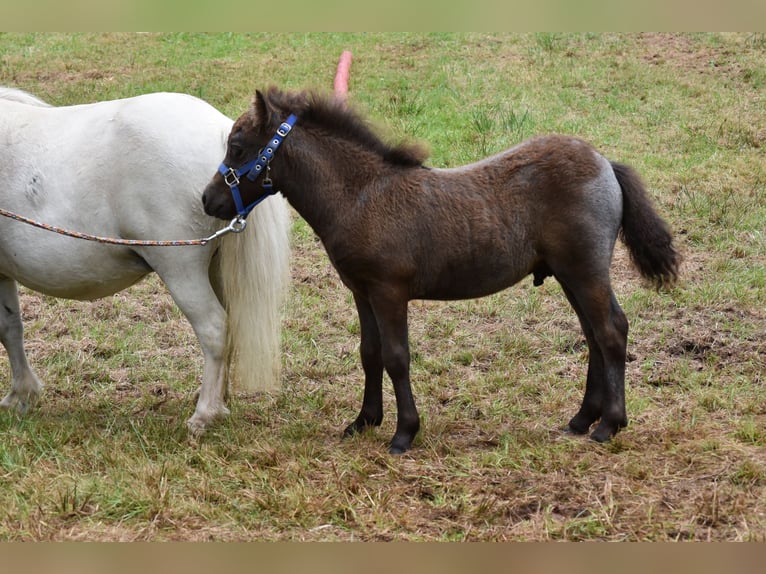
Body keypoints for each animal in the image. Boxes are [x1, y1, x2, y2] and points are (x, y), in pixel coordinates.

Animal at [0, 88, 292, 434]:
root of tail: (219, 130)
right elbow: (11, 328)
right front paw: (21, 394)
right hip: (216, 270)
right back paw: (219, 401)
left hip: (181, 271)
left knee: (214, 329)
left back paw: (205, 413)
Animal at [201, 86, 680, 454]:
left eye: (237, 148)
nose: (207, 200)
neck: (360, 196)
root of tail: (605, 164)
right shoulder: (361, 291)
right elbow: (369, 353)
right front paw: (364, 420)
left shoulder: (389, 291)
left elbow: (397, 357)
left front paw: (403, 434)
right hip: (569, 274)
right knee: (593, 335)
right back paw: (581, 419)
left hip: (586, 270)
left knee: (612, 330)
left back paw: (609, 424)